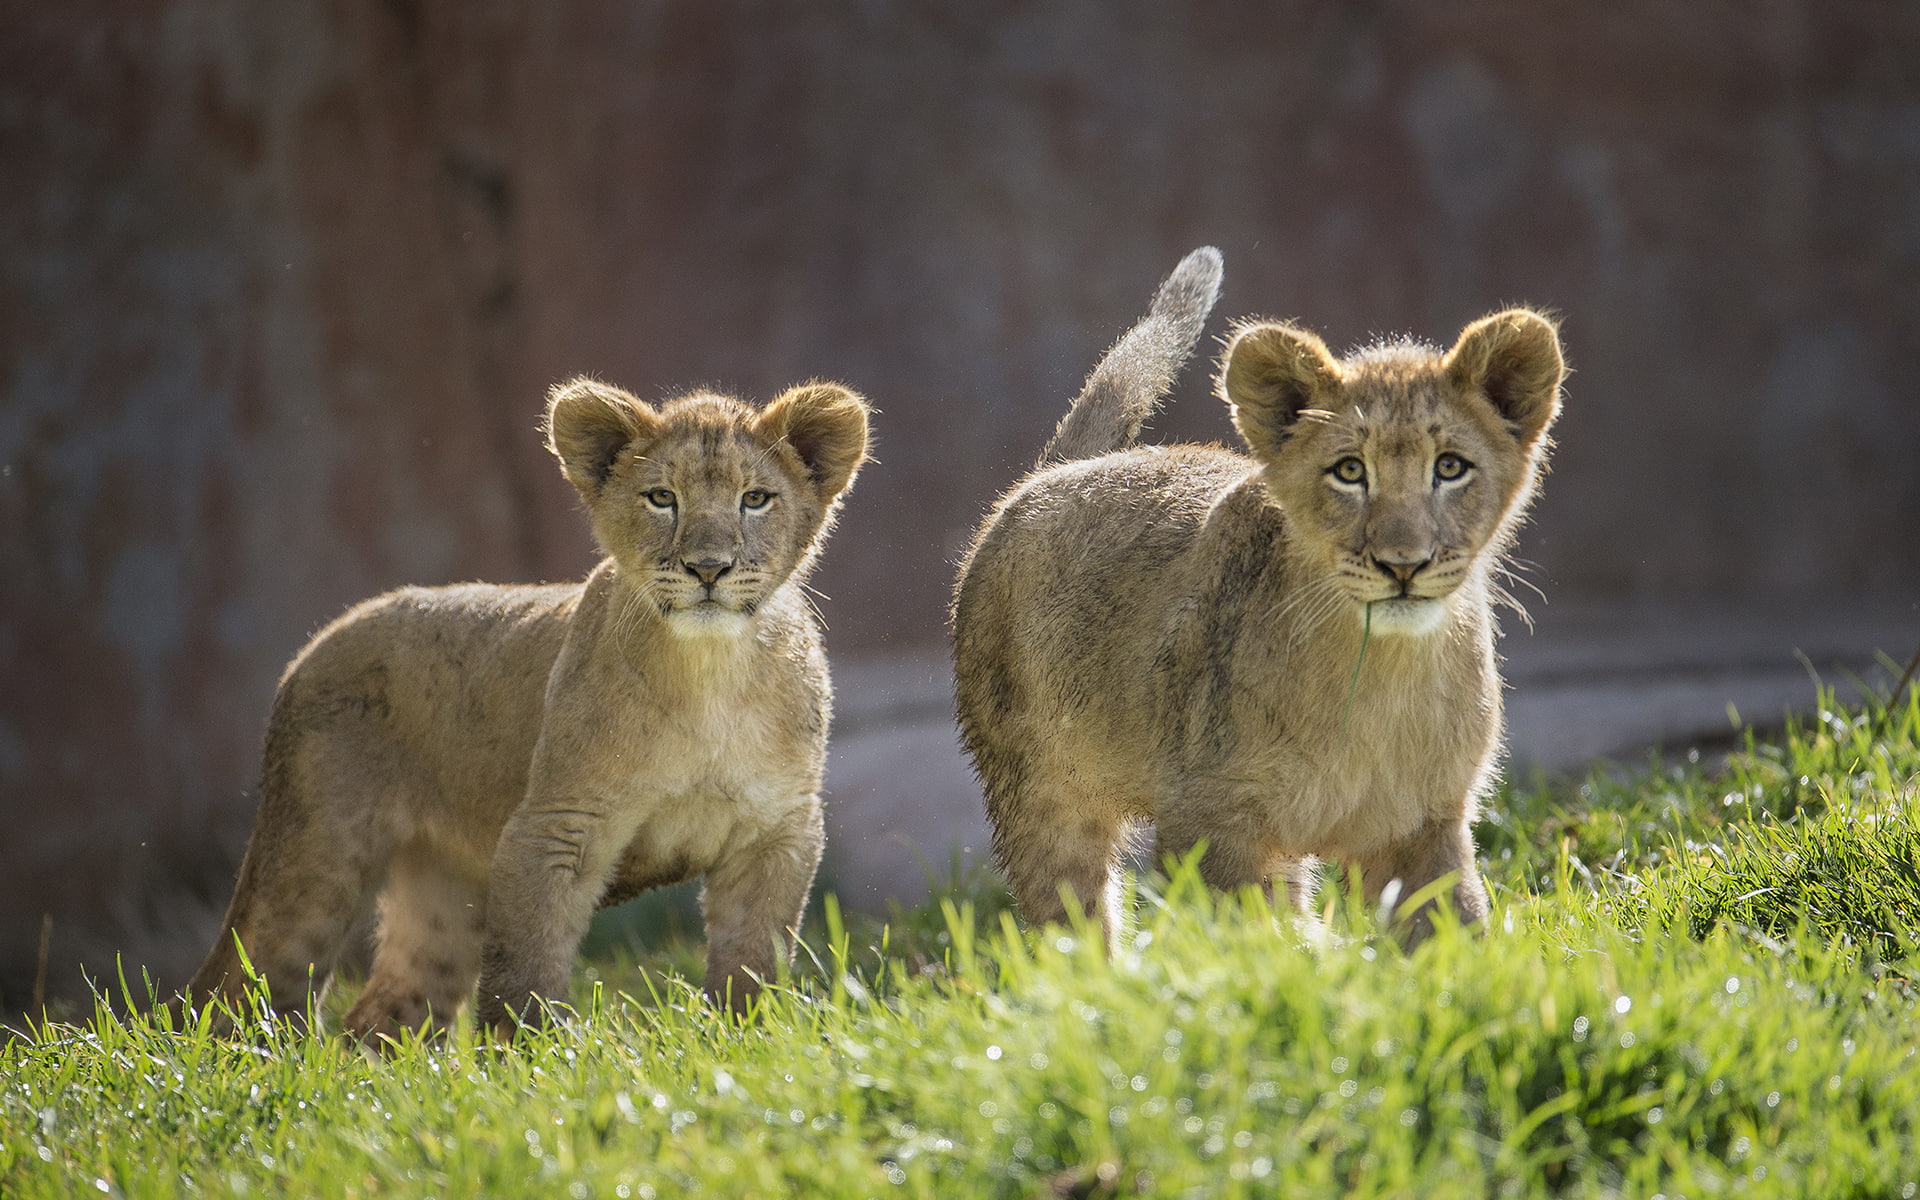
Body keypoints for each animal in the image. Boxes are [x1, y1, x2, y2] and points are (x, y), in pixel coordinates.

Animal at [182, 376, 870, 1039]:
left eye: (755, 499)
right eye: (661, 498)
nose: (708, 568)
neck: (710, 675)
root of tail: (318, 641)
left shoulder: (777, 830)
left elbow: (752, 963)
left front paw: (746, 1040)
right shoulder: (554, 826)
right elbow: (526, 970)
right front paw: (531, 1058)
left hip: (443, 892)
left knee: (380, 1017)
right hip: (317, 853)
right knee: (244, 992)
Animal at [953, 247, 1564, 948]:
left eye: (1451, 467)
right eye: (1349, 471)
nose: (1403, 564)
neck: (1374, 674)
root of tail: (1049, 475)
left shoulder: (1423, 821)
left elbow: (1449, 928)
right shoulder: (1208, 821)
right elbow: (1250, 937)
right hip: (1038, 793)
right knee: (1072, 921)